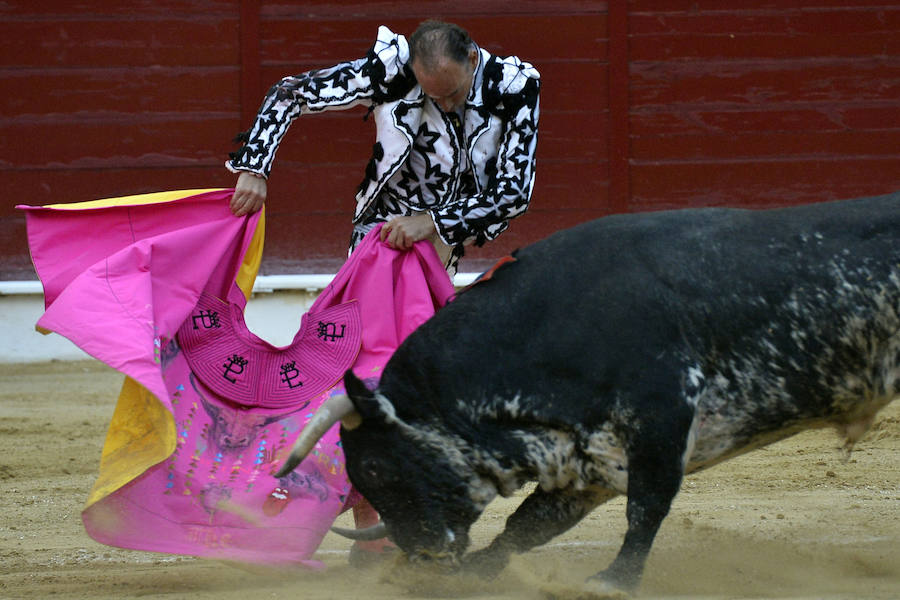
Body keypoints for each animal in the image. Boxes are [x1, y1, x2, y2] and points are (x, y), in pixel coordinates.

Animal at [278, 190, 896, 592]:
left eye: (375, 468)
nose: (424, 560)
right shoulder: (585, 462)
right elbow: (527, 527)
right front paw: (481, 574)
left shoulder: (662, 417)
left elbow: (646, 508)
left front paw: (614, 580)